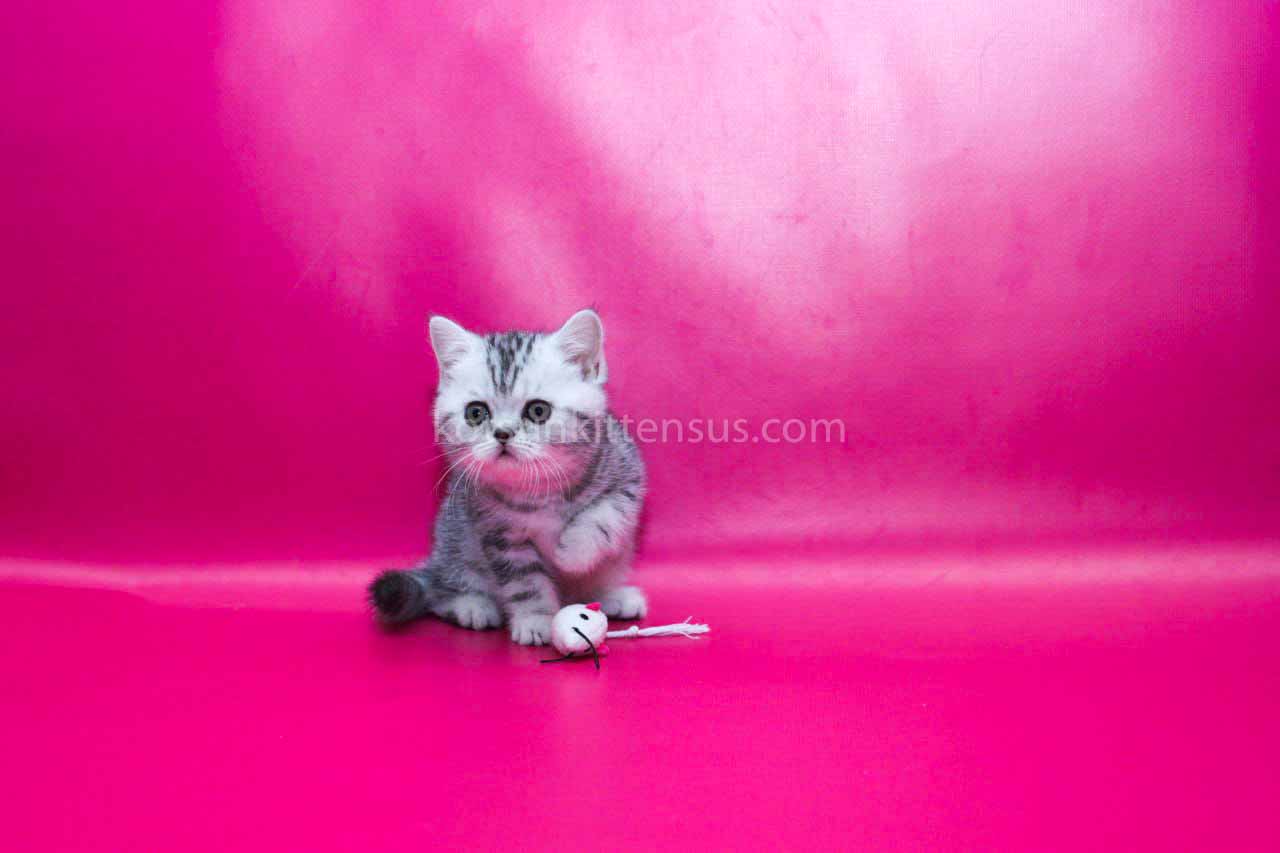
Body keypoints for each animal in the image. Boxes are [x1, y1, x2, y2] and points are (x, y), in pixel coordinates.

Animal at [368, 309, 647, 645]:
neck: (540, 489)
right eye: (475, 413)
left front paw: (572, 554)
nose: (502, 433)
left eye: (538, 411)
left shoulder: (628, 475)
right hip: (455, 540)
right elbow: (525, 583)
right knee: (441, 592)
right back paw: (471, 605)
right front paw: (536, 620)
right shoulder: (500, 535)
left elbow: (605, 514)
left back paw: (611, 596)